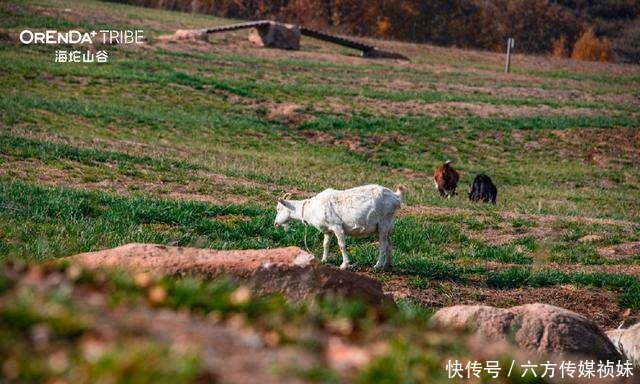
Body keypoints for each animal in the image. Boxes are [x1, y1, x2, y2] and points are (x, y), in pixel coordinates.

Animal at [272, 184, 402, 270]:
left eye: (278, 209)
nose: (275, 223)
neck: (311, 209)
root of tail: (396, 197)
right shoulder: (328, 230)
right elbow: (325, 244)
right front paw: (324, 260)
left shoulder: (337, 226)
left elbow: (341, 245)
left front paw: (344, 265)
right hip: (387, 226)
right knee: (389, 244)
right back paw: (387, 265)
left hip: (384, 223)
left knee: (383, 245)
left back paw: (377, 265)